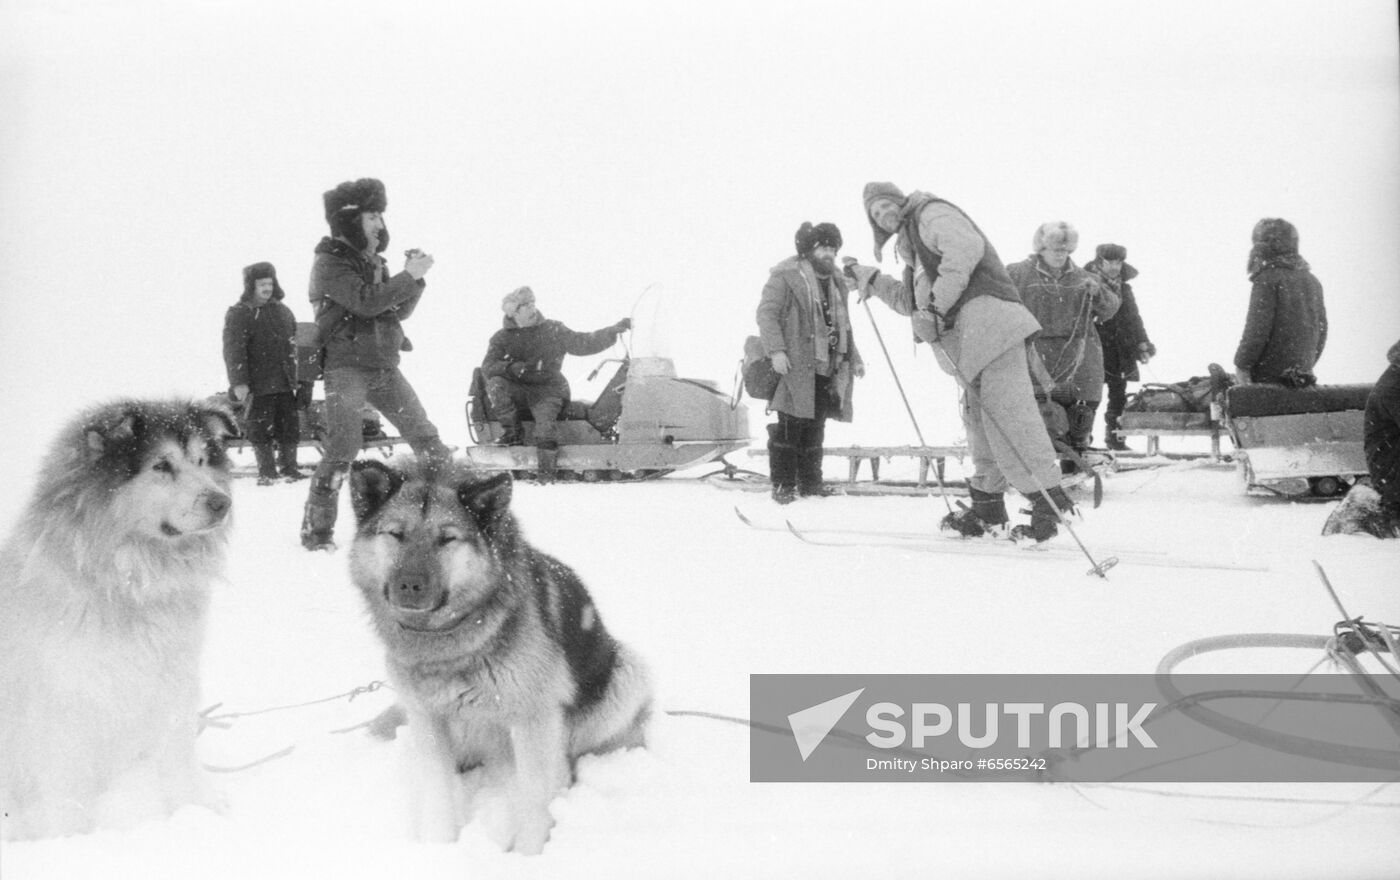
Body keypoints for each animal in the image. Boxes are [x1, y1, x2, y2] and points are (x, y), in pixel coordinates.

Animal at [0, 397, 236, 839]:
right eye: (161, 465)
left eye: (201, 460)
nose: (222, 502)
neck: (131, 584)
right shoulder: (68, 695)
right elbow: (66, 778)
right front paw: (70, 836)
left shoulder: (173, 678)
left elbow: (178, 753)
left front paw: (195, 809)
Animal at [350, 456, 655, 856]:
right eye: (395, 534)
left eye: (447, 538)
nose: (409, 585)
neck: (447, 641)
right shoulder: (427, 718)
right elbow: (438, 796)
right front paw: (438, 848)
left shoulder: (533, 719)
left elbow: (534, 800)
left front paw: (528, 855)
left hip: (626, 673)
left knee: (566, 764)